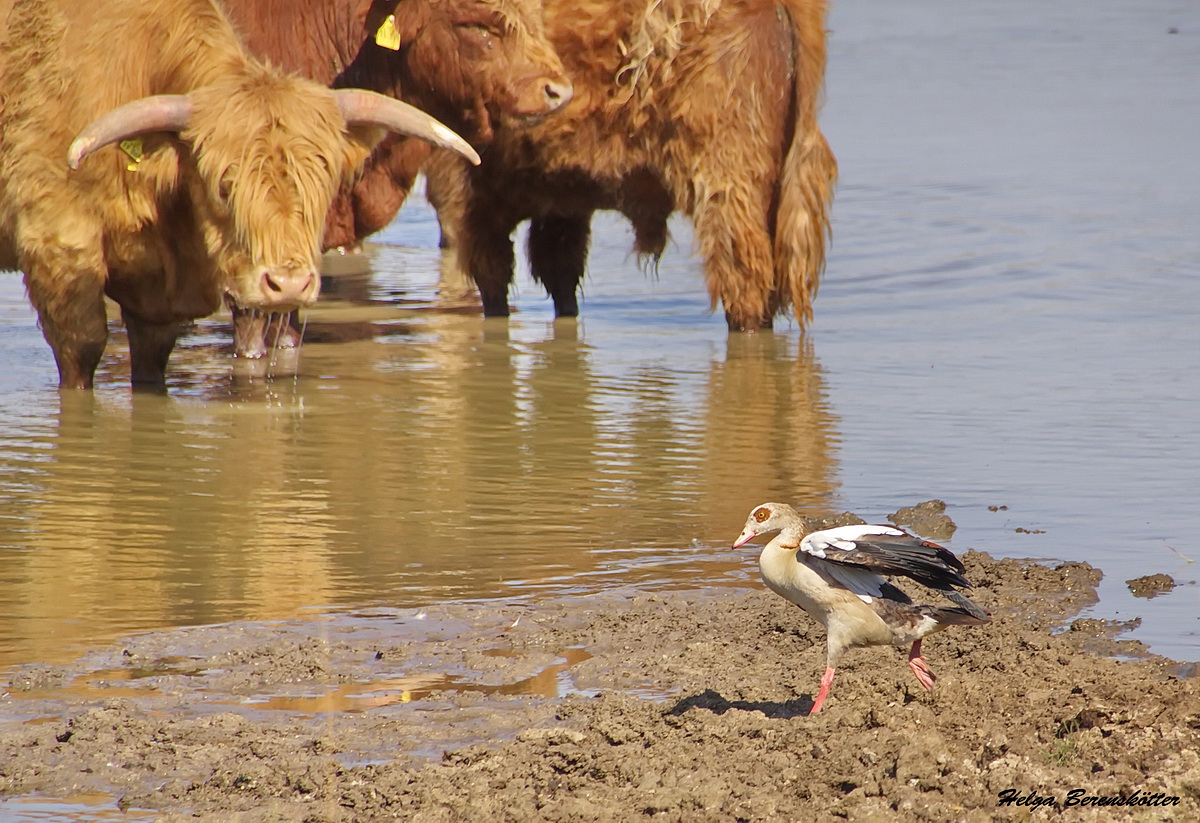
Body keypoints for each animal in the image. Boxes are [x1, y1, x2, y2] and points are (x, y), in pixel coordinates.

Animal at [0, 0, 477, 391]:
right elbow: (82, 355)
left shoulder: (157, 303)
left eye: (323, 183)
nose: (288, 284)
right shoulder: (58, 247)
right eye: (223, 186)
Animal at [427, 0, 840, 331]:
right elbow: (558, 273)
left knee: (745, 288)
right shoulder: (558, 201)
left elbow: (494, 278)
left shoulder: (472, 190)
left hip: (728, 184)